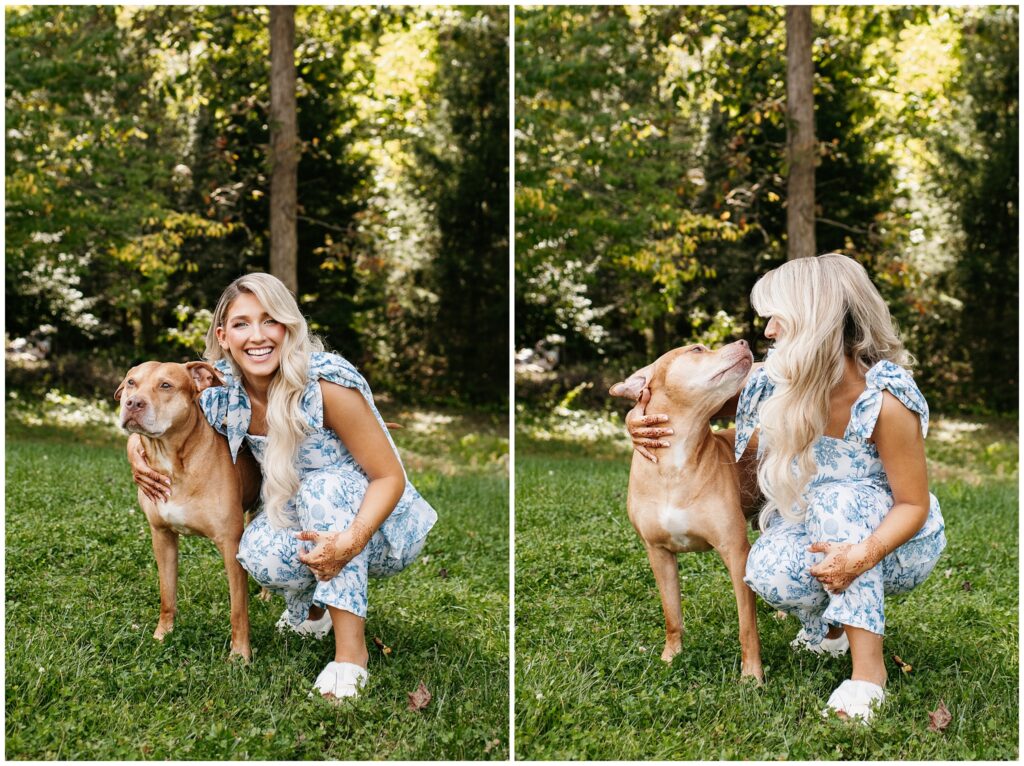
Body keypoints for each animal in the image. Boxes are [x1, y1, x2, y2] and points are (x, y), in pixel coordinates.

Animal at [115, 362, 260, 659]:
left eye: (166, 385)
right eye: (132, 382)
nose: (133, 403)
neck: (172, 461)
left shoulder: (230, 543)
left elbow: (238, 609)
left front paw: (240, 654)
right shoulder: (162, 536)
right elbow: (167, 594)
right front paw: (162, 635)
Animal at [610, 342, 765, 684]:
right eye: (697, 349)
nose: (744, 343)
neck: (675, 465)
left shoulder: (736, 552)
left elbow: (747, 625)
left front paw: (751, 675)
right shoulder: (658, 553)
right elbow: (672, 615)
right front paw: (670, 657)